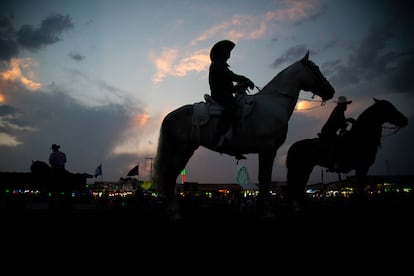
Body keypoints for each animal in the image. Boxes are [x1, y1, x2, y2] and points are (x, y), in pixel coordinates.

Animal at [154, 51, 334, 220]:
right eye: (315, 68)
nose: (331, 91)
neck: (273, 104)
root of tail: (170, 115)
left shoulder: (265, 151)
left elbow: (263, 180)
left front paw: (261, 209)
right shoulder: (268, 149)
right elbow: (265, 179)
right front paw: (267, 212)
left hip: (187, 150)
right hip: (180, 150)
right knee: (170, 177)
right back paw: (175, 213)